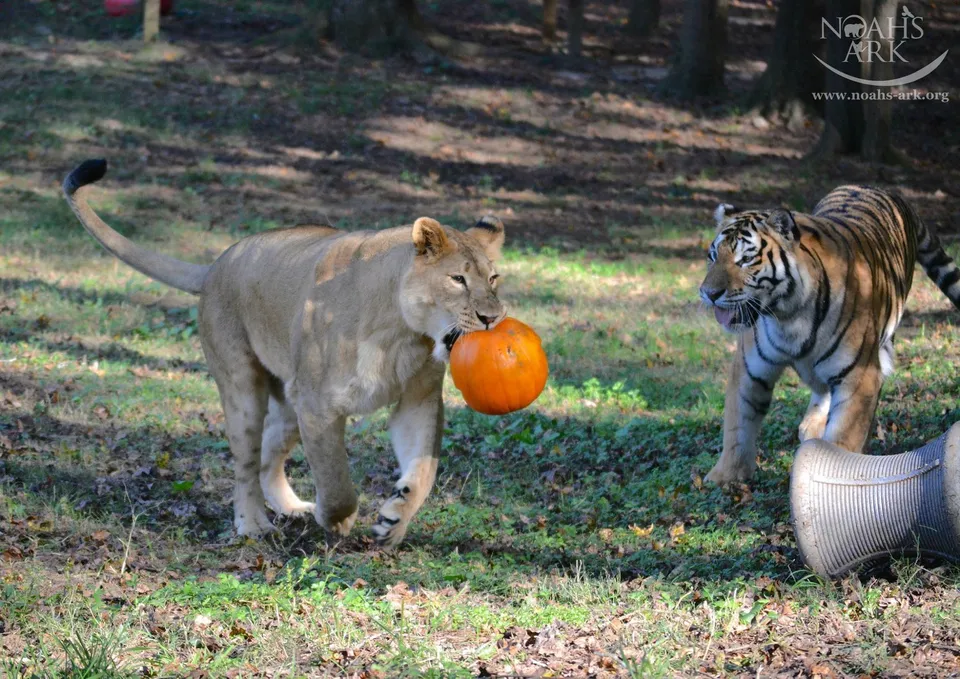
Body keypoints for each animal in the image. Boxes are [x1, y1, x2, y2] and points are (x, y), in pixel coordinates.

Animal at [696, 186, 960, 484]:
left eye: (746, 259)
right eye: (713, 256)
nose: (708, 293)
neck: (788, 316)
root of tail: (885, 191)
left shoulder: (860, 374)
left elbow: (845, 436)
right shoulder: (749, 369)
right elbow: (737, 427)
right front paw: (724, 477)